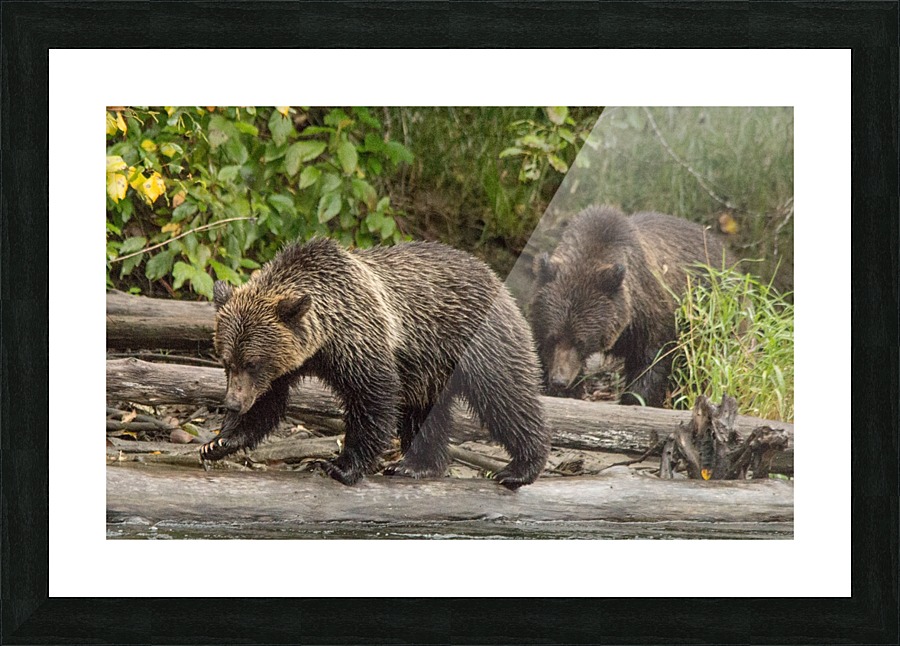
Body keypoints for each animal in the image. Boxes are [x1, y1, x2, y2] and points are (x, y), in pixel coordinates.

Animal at [199, 237, 551, 490]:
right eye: (227, 362)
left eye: (252, 362)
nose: (232, 403)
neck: (324, 338)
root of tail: (494, 277)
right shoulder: (291, 362)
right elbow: (267, 403)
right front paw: (218, 442)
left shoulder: (359, 338)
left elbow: (373, 397)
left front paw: (341, 466)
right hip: (429, 368)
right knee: (424, 412)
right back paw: (416, 465)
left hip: (476, 341)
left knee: (505, 395)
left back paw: (518, 468)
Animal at [529, 205, 730, 407]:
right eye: (553, 337)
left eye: (581, 341)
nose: (560, 380)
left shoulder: (648, 317)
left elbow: (650, 363)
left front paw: (636, 400)